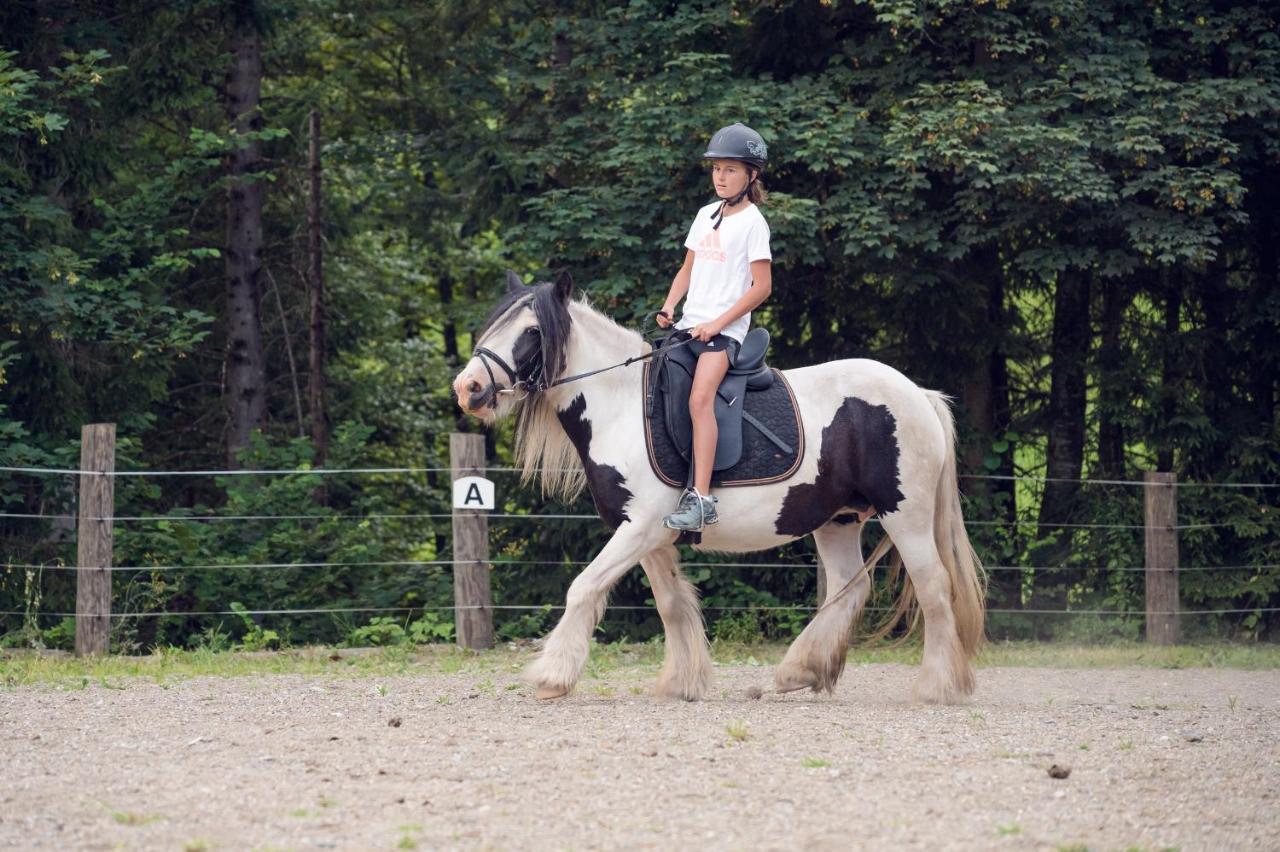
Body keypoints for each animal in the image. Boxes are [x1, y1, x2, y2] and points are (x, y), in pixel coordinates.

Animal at [455, 273, 983, 701]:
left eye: (532, 332)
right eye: (492, 327)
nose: (468, 389)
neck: (620, 406)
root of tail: (919, 394)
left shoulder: (640, 528)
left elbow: (584, 588)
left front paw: (553, 676)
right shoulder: (648, 533)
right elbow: (671, 604)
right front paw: (681, 682)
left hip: (905, 515)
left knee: (933, 587)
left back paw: (936, 687)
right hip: (838, 520)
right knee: (850, 588)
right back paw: (800, 671)